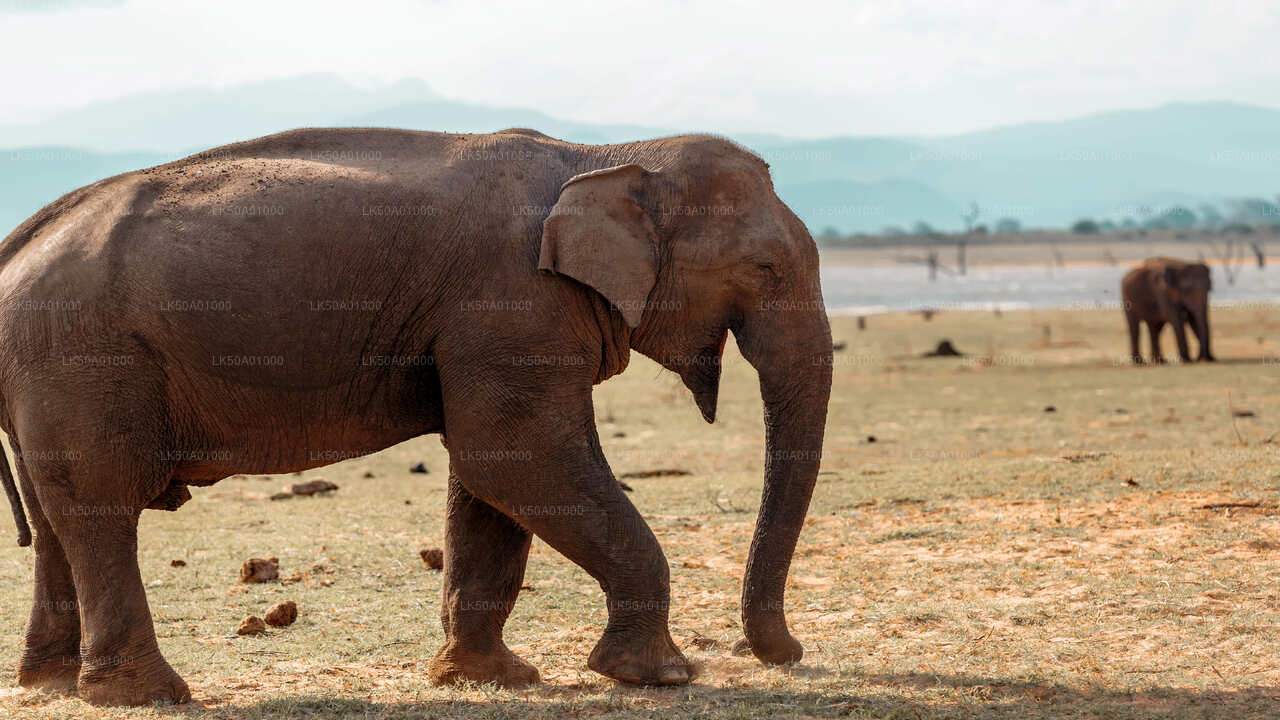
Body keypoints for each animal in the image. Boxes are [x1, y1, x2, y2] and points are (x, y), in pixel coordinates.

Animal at [0, 126, 834, 702]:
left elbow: (492, 477)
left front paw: (489, 678)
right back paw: (147, 695)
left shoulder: (494, 326)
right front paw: (658, 676)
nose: (786, 653)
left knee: (55, 518)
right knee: (101, 508)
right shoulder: (512, 302)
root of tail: (19, 244)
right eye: (766, 268)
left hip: (49, 372)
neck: (604, 154)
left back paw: (52, 685)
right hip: (83, 358)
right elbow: (515, 456)